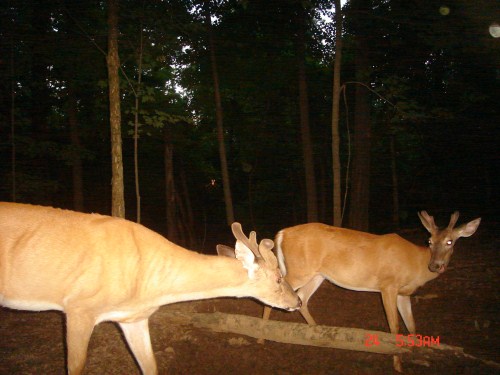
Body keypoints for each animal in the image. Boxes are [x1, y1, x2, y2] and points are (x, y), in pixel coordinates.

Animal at [0, 203, 300, 375]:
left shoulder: (134, 317)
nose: (296, 301)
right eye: (277, 277)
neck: (151, 283)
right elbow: (75, 366)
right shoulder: (79, 307)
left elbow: (150, 366)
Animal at [260, 212, 478, 374]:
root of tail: (282, 233)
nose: (435, 265)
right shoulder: (388, 285)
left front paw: (419, 357)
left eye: (450, 242)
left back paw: (317, 334)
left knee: (303, 300)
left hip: (317, 274)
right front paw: (397, 364)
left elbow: (412, 325)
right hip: (301, 269)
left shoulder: (404, 293)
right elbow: (394, 327)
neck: (416, 264)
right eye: (430, 241)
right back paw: (261, 337)